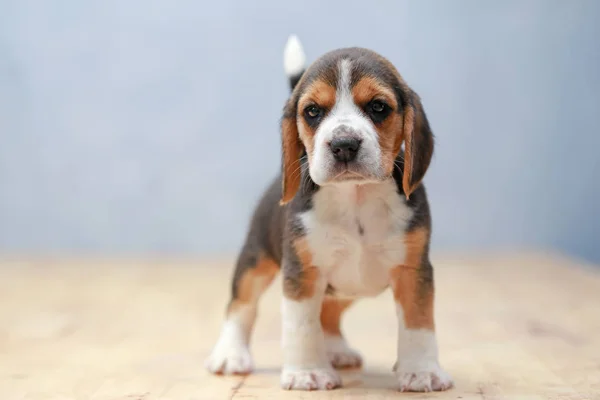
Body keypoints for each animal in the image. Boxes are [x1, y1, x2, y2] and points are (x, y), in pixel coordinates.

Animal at [204, 35, 452, 394]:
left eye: (378, 107)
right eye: (312, 112)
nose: (344, 143)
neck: (356, 197)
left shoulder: (413, 271)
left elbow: (418, 324)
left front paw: (421, 371)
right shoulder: (302, 273)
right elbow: (303, 326)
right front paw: (307, 372)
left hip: (345, 285)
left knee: (330, 312)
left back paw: (335, 349)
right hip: (256, 259)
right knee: (241, 306)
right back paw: (230, 353)